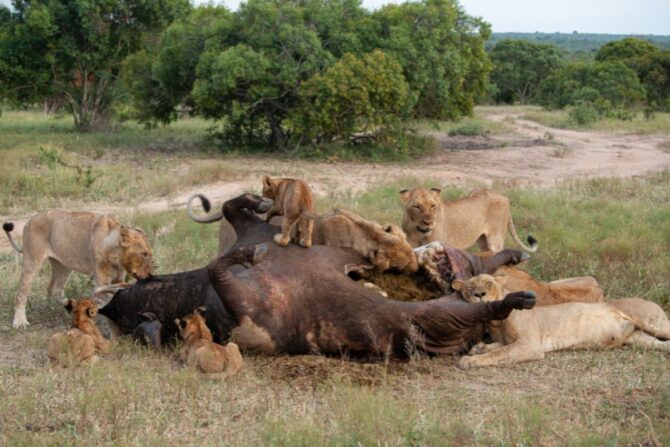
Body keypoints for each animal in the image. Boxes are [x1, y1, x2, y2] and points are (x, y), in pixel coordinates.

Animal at [4, 210, 154, 328]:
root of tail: (30, 220)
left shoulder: (118, 278)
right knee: (21, 294)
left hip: (63, 266)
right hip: (32, 261)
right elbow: (108, 296)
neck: (115, 255)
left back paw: (69, 305)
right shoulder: (101, 279)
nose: (150, 274)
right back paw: (20, 322)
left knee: (54, 288)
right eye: (144, 254)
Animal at [454, 274, 670, 370]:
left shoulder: (530, 345)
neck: (497, 320)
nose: (479, 295)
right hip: (639, 339)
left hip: (653, 322)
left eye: (489, 283)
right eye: (470, 286)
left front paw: (470, 360)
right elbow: (497, 346)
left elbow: (499, 353)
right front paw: (479, 348)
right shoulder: (512, 341)